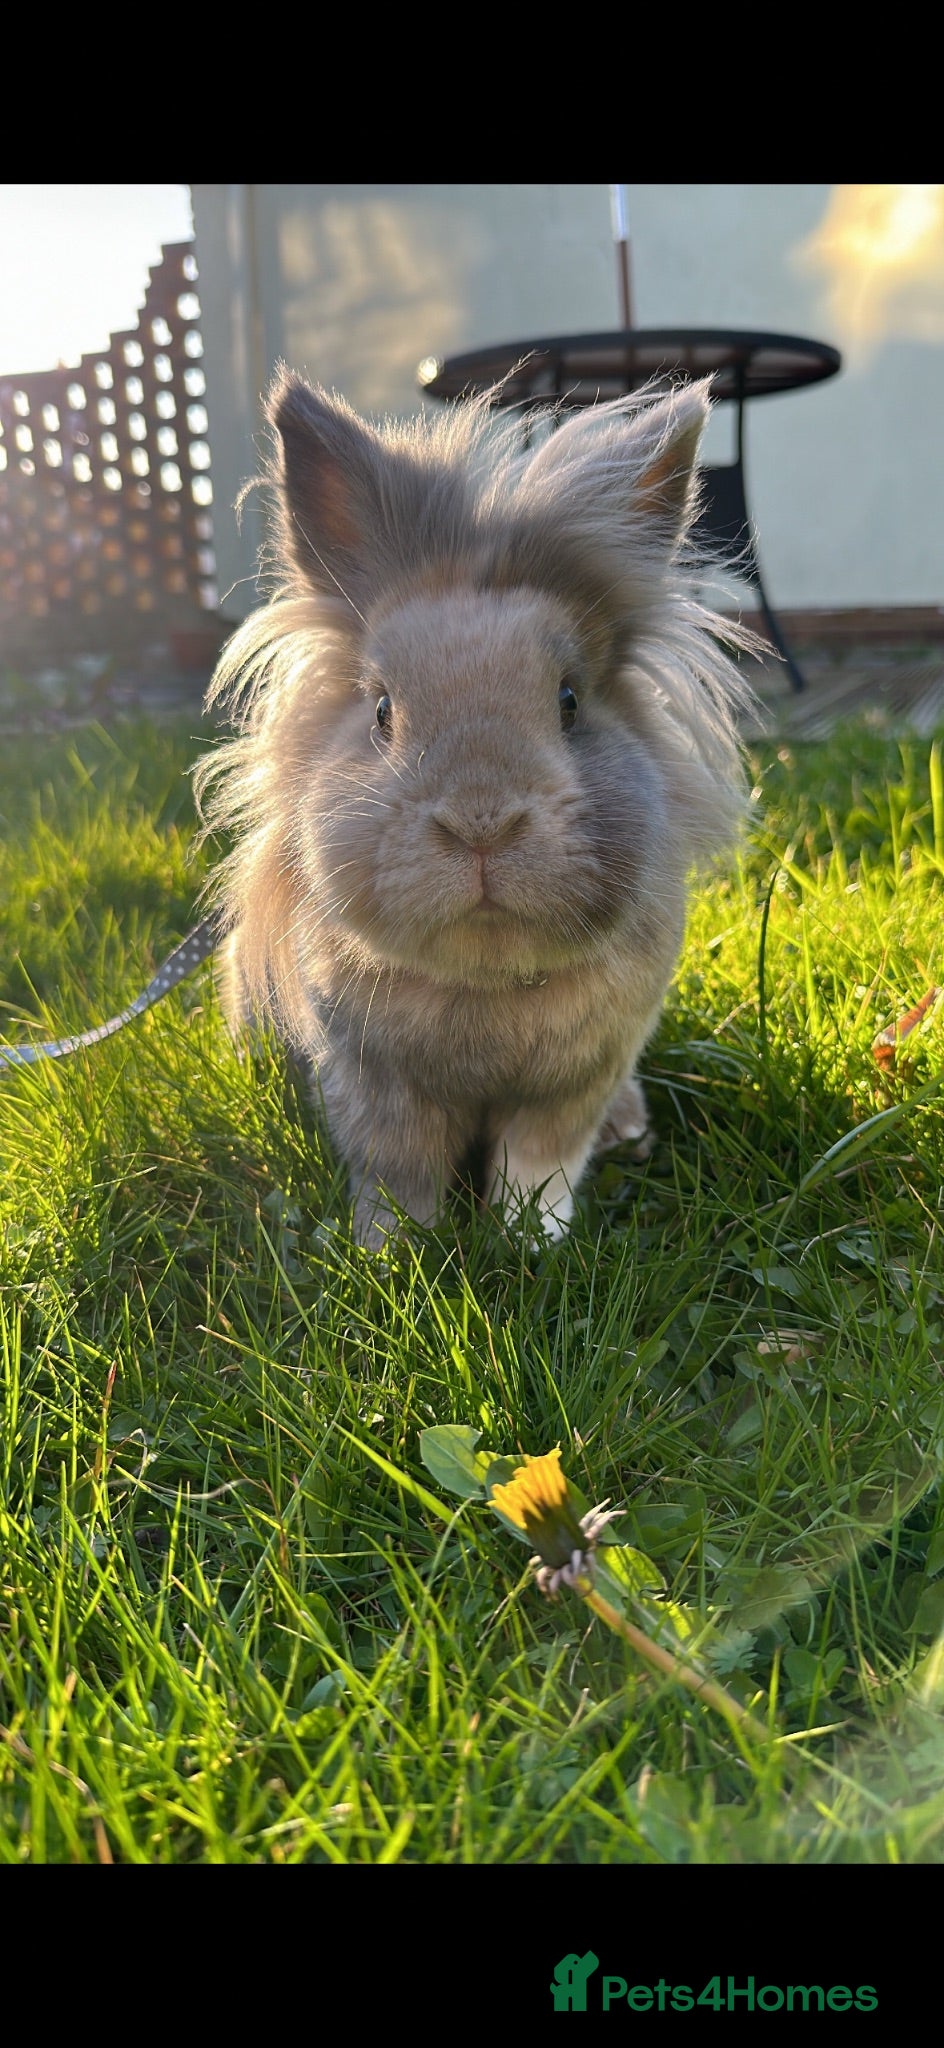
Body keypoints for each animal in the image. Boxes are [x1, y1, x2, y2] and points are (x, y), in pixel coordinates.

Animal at [194, 367, 754, 1250]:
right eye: (382, 711)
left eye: (569, 701)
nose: (481, 823)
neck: (487, 979)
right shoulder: (375, 1092)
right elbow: (399, 1176)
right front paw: (393, 1257)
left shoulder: (574, 1086)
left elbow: (540, 1165)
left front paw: (528, 1243)